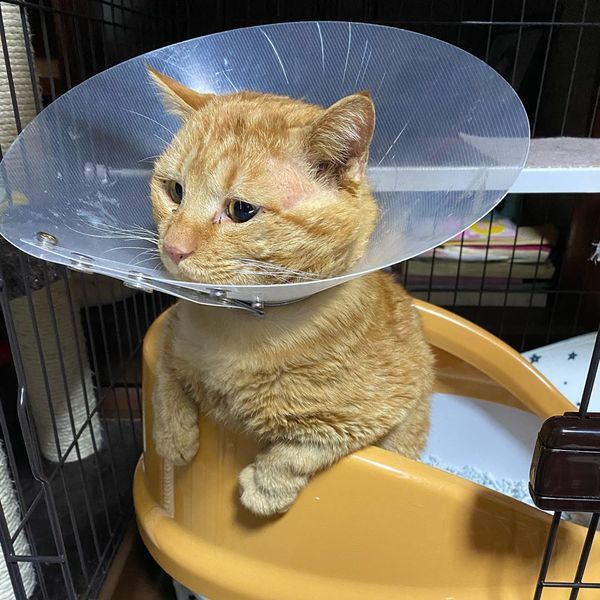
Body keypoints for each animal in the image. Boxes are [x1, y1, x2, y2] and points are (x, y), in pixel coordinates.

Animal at [147, 67, 434, 516]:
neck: (237, 331)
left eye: (240, 210)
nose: (174, 248)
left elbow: (311, 444)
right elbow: (165, 368)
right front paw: (172, 433)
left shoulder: (387, 411)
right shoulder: (172, 328)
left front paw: (267, 484)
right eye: (175, 190)